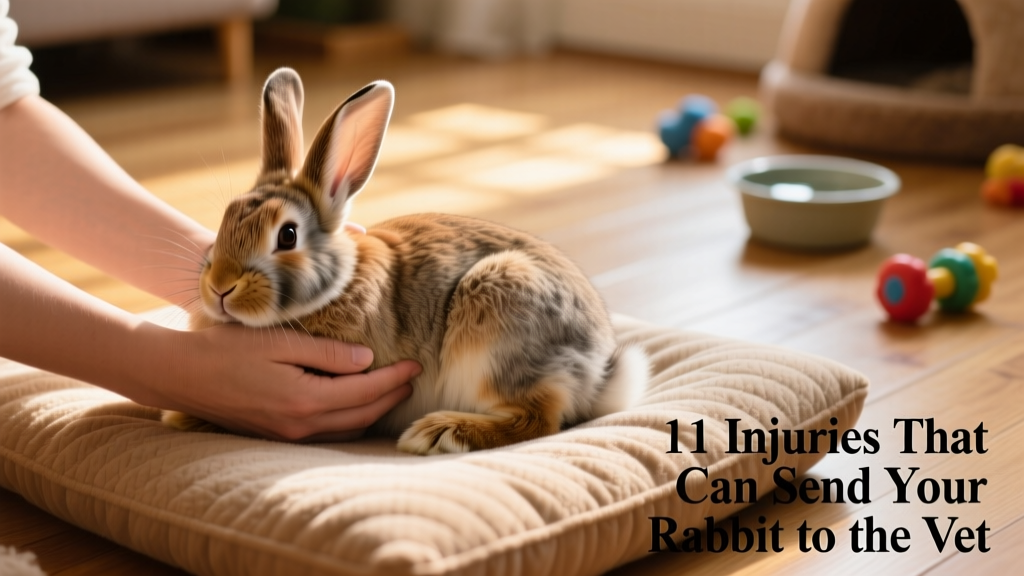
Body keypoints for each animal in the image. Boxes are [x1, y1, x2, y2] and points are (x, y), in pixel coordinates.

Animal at [163, 68, 648, 455]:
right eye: (224, 221)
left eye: (287, 235)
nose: (220, 287)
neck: (337, 285)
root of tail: (598, 371)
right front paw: (180, 415)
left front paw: (183, 416)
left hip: (500, 323)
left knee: (538, 419)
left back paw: (440, 433)